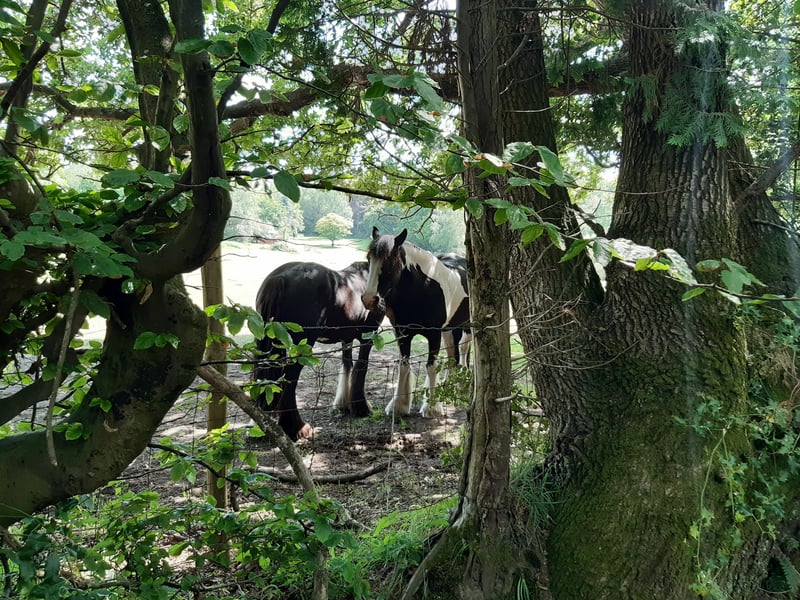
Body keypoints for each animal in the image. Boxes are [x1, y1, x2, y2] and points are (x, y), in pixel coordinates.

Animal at [253, 261, 385, 440]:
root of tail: (279, 278)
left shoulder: (346, 338)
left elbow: (347, 365)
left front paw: (343, 405)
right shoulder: (368, 336)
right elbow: (361, 368)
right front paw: (361, 408)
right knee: (290, 378)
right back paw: (297, 428)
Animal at [361, 227, 470, 418]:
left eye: (390, 261)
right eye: (369, 258)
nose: (369, 299)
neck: (423, 289)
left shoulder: (434, 334)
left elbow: (431, 366)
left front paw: (431, 407)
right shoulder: (403, 333)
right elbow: (403, 366)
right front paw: (399, 406)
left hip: (468, 325)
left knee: (463, 350)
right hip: (448, 330)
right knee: (452, 356)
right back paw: (447, 389)